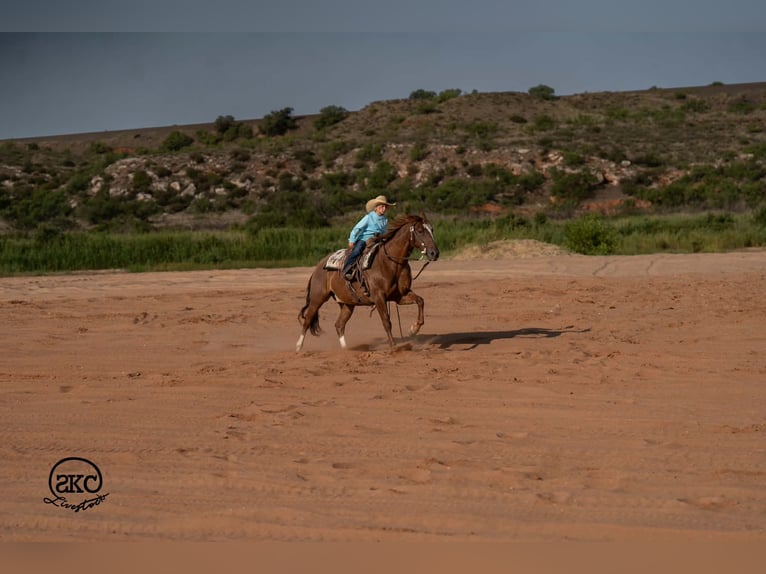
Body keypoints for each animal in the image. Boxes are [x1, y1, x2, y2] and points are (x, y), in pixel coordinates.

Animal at [296, 213, 440, 352]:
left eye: (432, 229)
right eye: (420, 231)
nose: (434, 253)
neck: (390, 262)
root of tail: (318, 267)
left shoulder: (400, 296)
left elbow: (420, 301)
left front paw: (413, 329)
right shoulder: (379, 297)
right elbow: (386, 321)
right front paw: (394, 346)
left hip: (347, 304)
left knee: (339, 325)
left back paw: (346, 350)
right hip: (317, 298)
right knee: (308, 319)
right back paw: (298, 347)